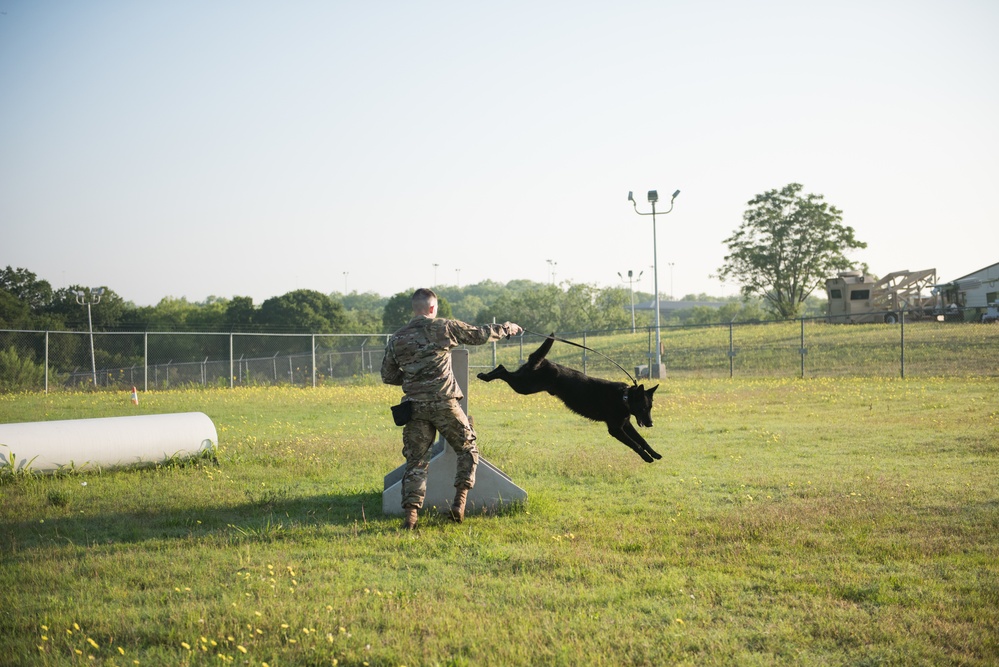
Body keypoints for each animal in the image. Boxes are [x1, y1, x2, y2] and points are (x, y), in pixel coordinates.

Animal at [478, 334, 664, 464]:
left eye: (650, 408)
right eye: (643, 408)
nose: (651, 424)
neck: (623, 397)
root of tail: (543, 361)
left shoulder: (626, 425)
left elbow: (643, 441)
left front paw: (654, 453)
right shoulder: (616, 429)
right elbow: (635, 444)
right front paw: (647, 458)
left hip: (523, 383)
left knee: (503, 368)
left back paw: (485, 375)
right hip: (524, 386)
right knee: (503, 370)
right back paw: (485, 376)